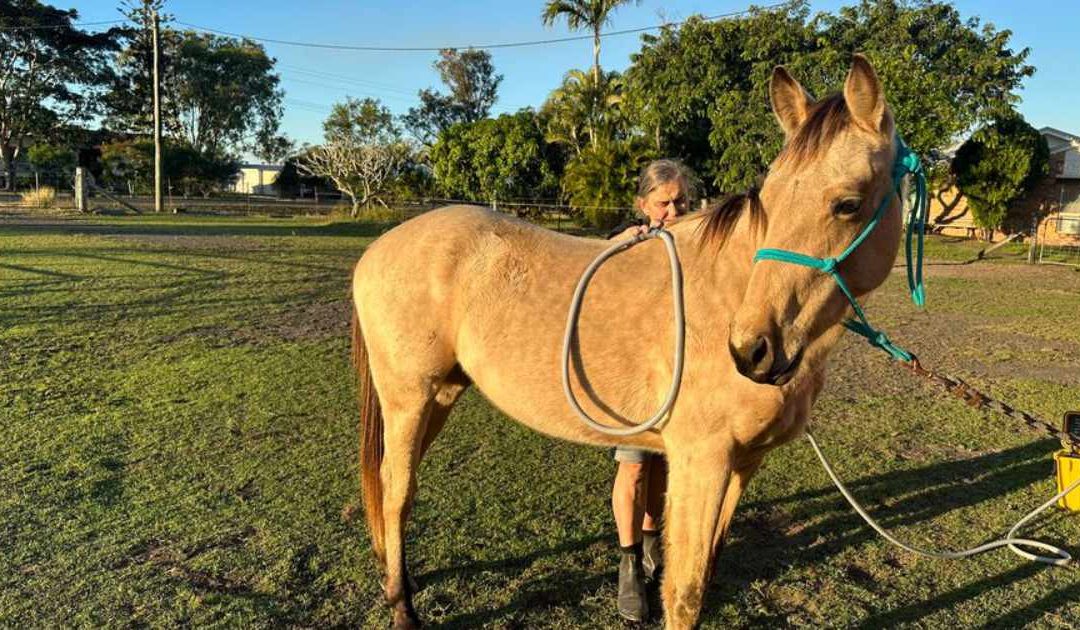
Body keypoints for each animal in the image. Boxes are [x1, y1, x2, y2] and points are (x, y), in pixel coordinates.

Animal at [350, 55, 905, 629]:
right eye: (768, 201)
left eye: (847, 204)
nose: (754, 350)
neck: (727, 290)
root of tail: (379, 249)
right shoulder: (703, 461)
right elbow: (685, 591)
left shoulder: (743, 464)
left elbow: (706, 563)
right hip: (409, 399)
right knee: (397, 489)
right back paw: (402, 605)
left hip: (440, 395)